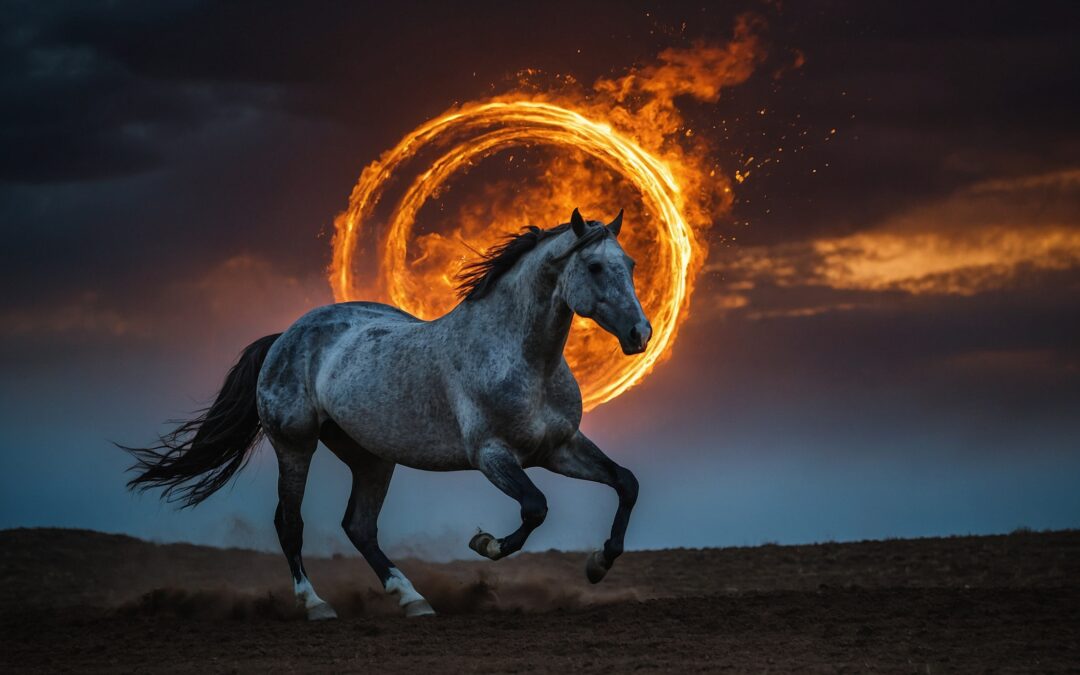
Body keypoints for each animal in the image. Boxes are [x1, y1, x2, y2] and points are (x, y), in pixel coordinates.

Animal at [125, 208, 651, 619]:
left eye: (629, 263)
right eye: (596, 266)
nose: (640, 333)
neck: (523, 360)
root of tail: (284, 337)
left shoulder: (558, 448)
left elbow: (625, 482)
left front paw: (599, 564)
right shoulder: (492, 456)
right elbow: (535, 507)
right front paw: (485, 544)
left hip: (371, 457)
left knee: (359, 527)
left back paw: (412, 599)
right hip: (295, 446)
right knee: (290, 523)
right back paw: (317, 605)